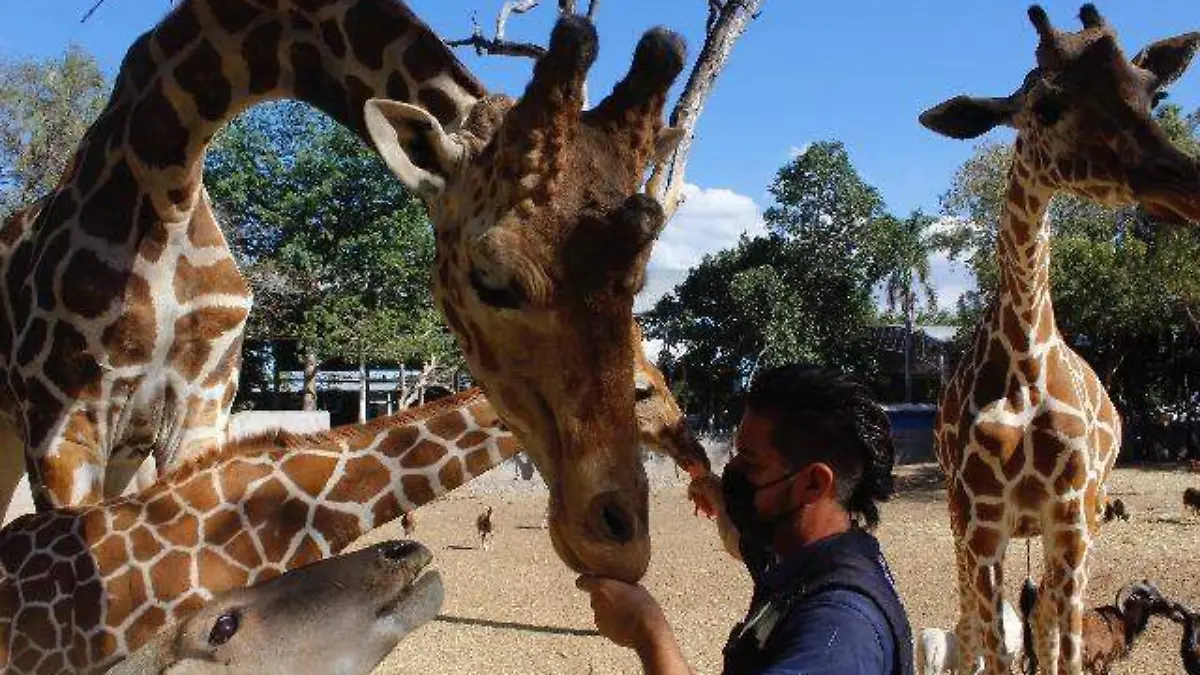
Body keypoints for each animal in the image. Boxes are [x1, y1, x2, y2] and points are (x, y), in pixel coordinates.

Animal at [0, 0, 688, 584]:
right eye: (492, 278)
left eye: (639, 271)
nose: (620, 540)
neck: (164, 176)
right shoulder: (62, 425)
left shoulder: (201, 407)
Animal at [919, 6, 1199, 674]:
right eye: (1046, 106)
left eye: (1155, 94)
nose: (1185, 185)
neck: (1024, 358)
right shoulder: (982, 522)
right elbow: (993, 644)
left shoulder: (1070, 518)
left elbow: (1063, 645)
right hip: (964, 524)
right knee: (973, 625)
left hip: (1083, 522)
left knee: (1044, 622)